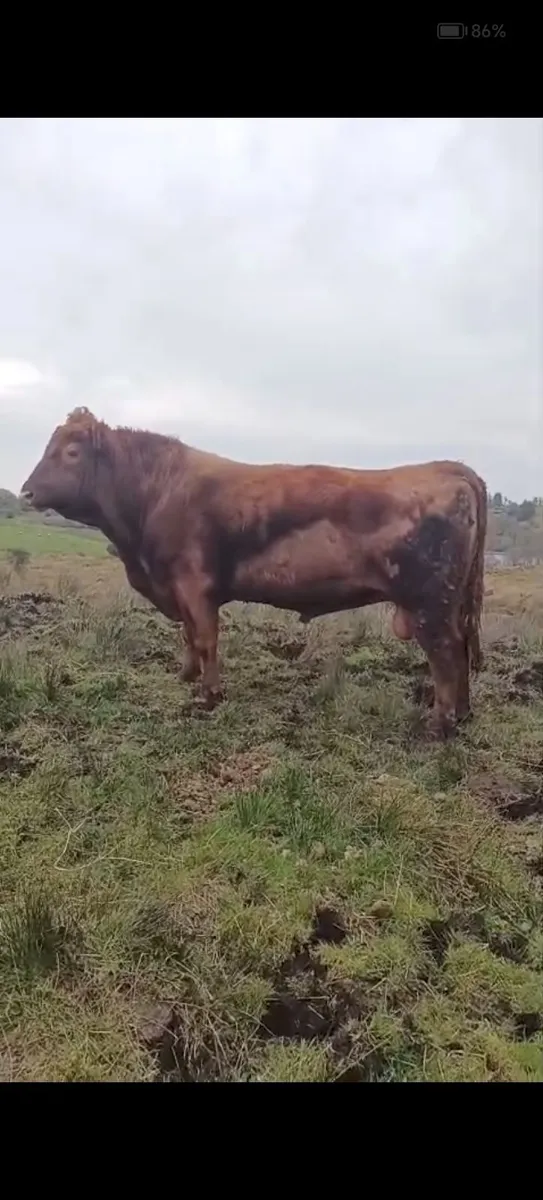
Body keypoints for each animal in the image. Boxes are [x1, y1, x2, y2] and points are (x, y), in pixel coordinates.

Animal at [21, 407, 487, 738]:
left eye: (71, 452)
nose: (25, 492)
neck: (158, 493)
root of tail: (446, 467)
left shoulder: (194, 585)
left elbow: (205, 638)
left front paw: (209, 696)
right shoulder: (181, 590)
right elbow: (188, 635)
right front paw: (185, 676)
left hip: (429, 603)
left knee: (446, 654)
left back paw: (440, 725)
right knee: (462, 647)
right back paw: (462, 715)